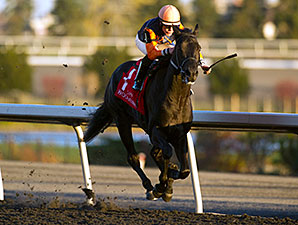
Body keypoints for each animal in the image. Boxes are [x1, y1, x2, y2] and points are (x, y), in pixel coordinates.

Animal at [84, 25, 200, 202]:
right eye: (179, 49)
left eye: (199, 48)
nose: (191, 72)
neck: (177, 99)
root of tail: (115, 73)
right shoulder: (156, 130)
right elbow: (167, 152)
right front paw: (161, 186)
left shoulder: (180, 134)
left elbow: (185, 170)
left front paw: (169, 179)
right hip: (122, 120)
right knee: (133, 157)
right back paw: (149, 186)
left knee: (154, 153)